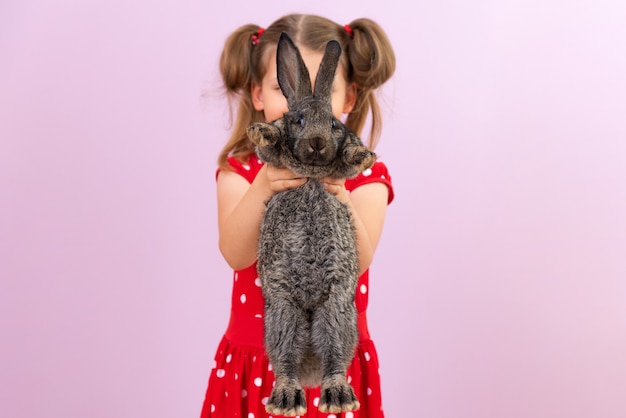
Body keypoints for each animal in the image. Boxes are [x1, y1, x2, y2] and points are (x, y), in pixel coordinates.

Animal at [246, 31, 376, 414]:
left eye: (333, 124)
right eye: (299, 120)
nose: (318, 144)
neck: (312, 172)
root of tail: (310, 371)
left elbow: (347, 157)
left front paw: (364, 154)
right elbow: (271, 144)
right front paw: (260, 130)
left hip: (335, 311)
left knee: (335, 356)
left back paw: (335, 394)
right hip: (283, 312)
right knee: (284, 359)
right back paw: (288, 398)